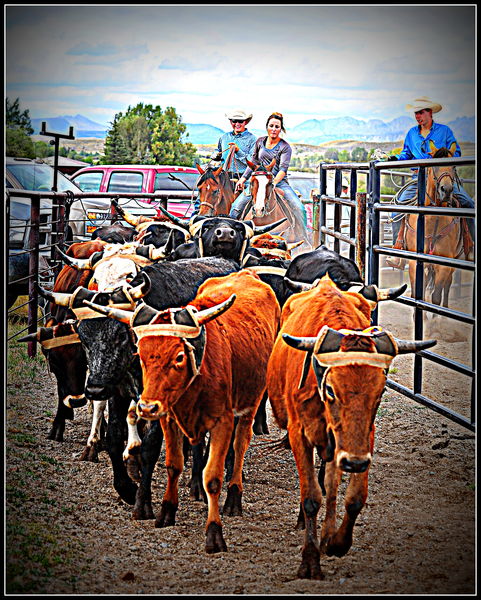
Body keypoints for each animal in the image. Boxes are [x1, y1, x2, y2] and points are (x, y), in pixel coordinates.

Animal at [404, 140, 470, 310]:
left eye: (453, 166)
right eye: (434, 165)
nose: (446, 190)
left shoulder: (444, 265)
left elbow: (436, 297)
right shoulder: (415, 262)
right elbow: (417, 294)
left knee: (446, 287)